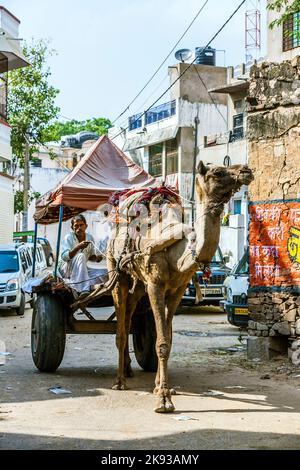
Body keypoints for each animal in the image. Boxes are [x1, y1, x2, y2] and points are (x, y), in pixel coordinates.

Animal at [103, 162, 253, 412]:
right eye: (217, 172)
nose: (246, 170)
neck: (178, 252)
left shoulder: (177, 290)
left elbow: (167, 339)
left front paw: (160, 388)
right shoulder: (155, 285)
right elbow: (162, 341)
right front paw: (163, 400)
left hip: (139, 283)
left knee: (129, 314)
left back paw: (128, 369)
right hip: (116, 271)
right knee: (121, 327)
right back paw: (119, 381)